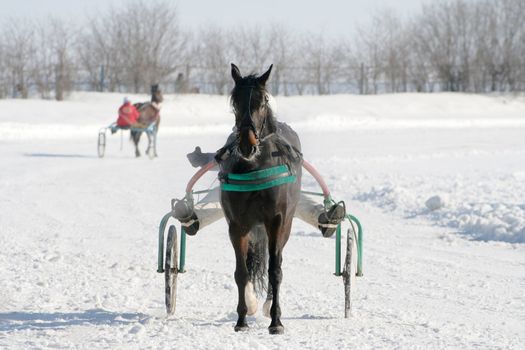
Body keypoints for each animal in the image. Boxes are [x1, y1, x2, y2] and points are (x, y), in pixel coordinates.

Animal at [216, 63, 300, 334]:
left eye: (263, 100)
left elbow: (275, 270)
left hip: (285, 225)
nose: (246, 144)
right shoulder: (238, 225)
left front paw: (276, 321)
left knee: (277, 263)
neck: (254, 167)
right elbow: (242, 272)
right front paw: (241, 319)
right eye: (234, 101)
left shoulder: (276, 221)